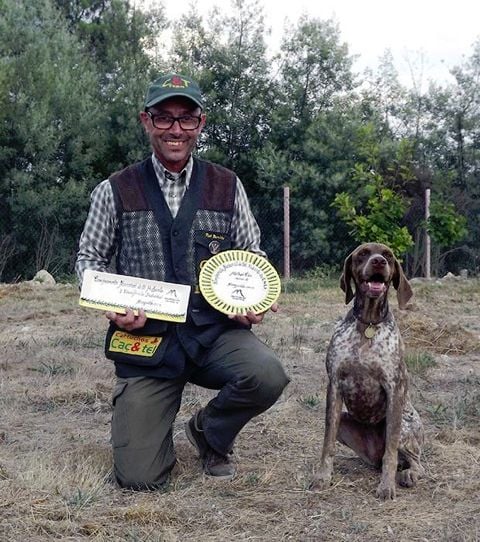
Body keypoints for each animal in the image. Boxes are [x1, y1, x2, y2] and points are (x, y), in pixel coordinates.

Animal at [314, 243, 426, 502]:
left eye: (388, 255)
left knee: (413, 461)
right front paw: (323, 476)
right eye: (363, 253)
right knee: (380, 460)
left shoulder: (394, 388)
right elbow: (327, 443)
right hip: (346, 422)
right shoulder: (335, 385)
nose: (378, 262)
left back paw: (408, 474)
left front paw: (386, 487)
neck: (369, 323)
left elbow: (391, 453)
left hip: (406, 427)